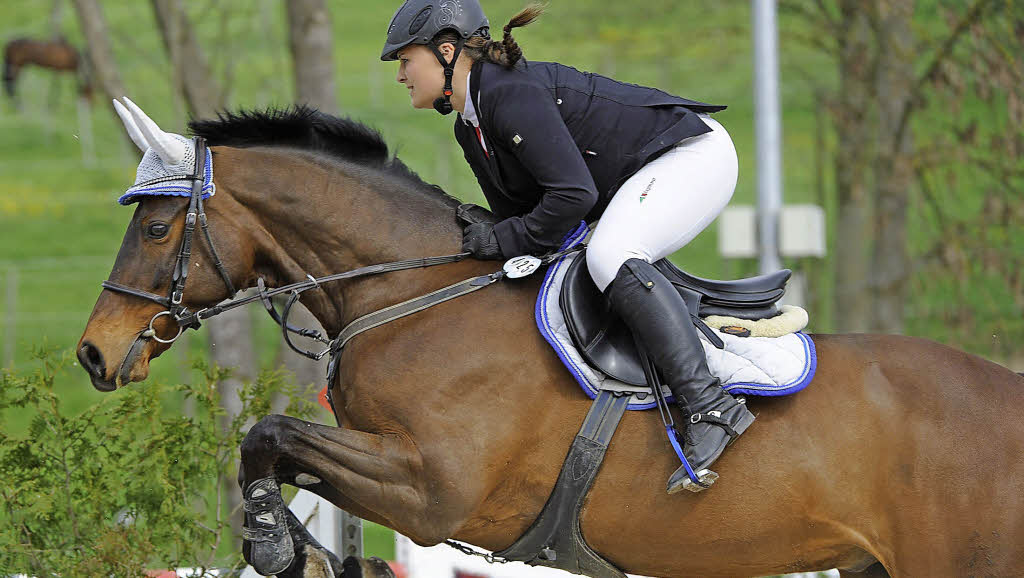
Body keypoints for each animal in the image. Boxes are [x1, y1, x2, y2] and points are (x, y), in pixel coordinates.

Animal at [75, 105, 1019, 578]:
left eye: (155, 228)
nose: (94, 353)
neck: (416, 292)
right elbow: (273, 447)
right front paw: (288, 545)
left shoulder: (430, 489)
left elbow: (269, 434)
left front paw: (272, 542)